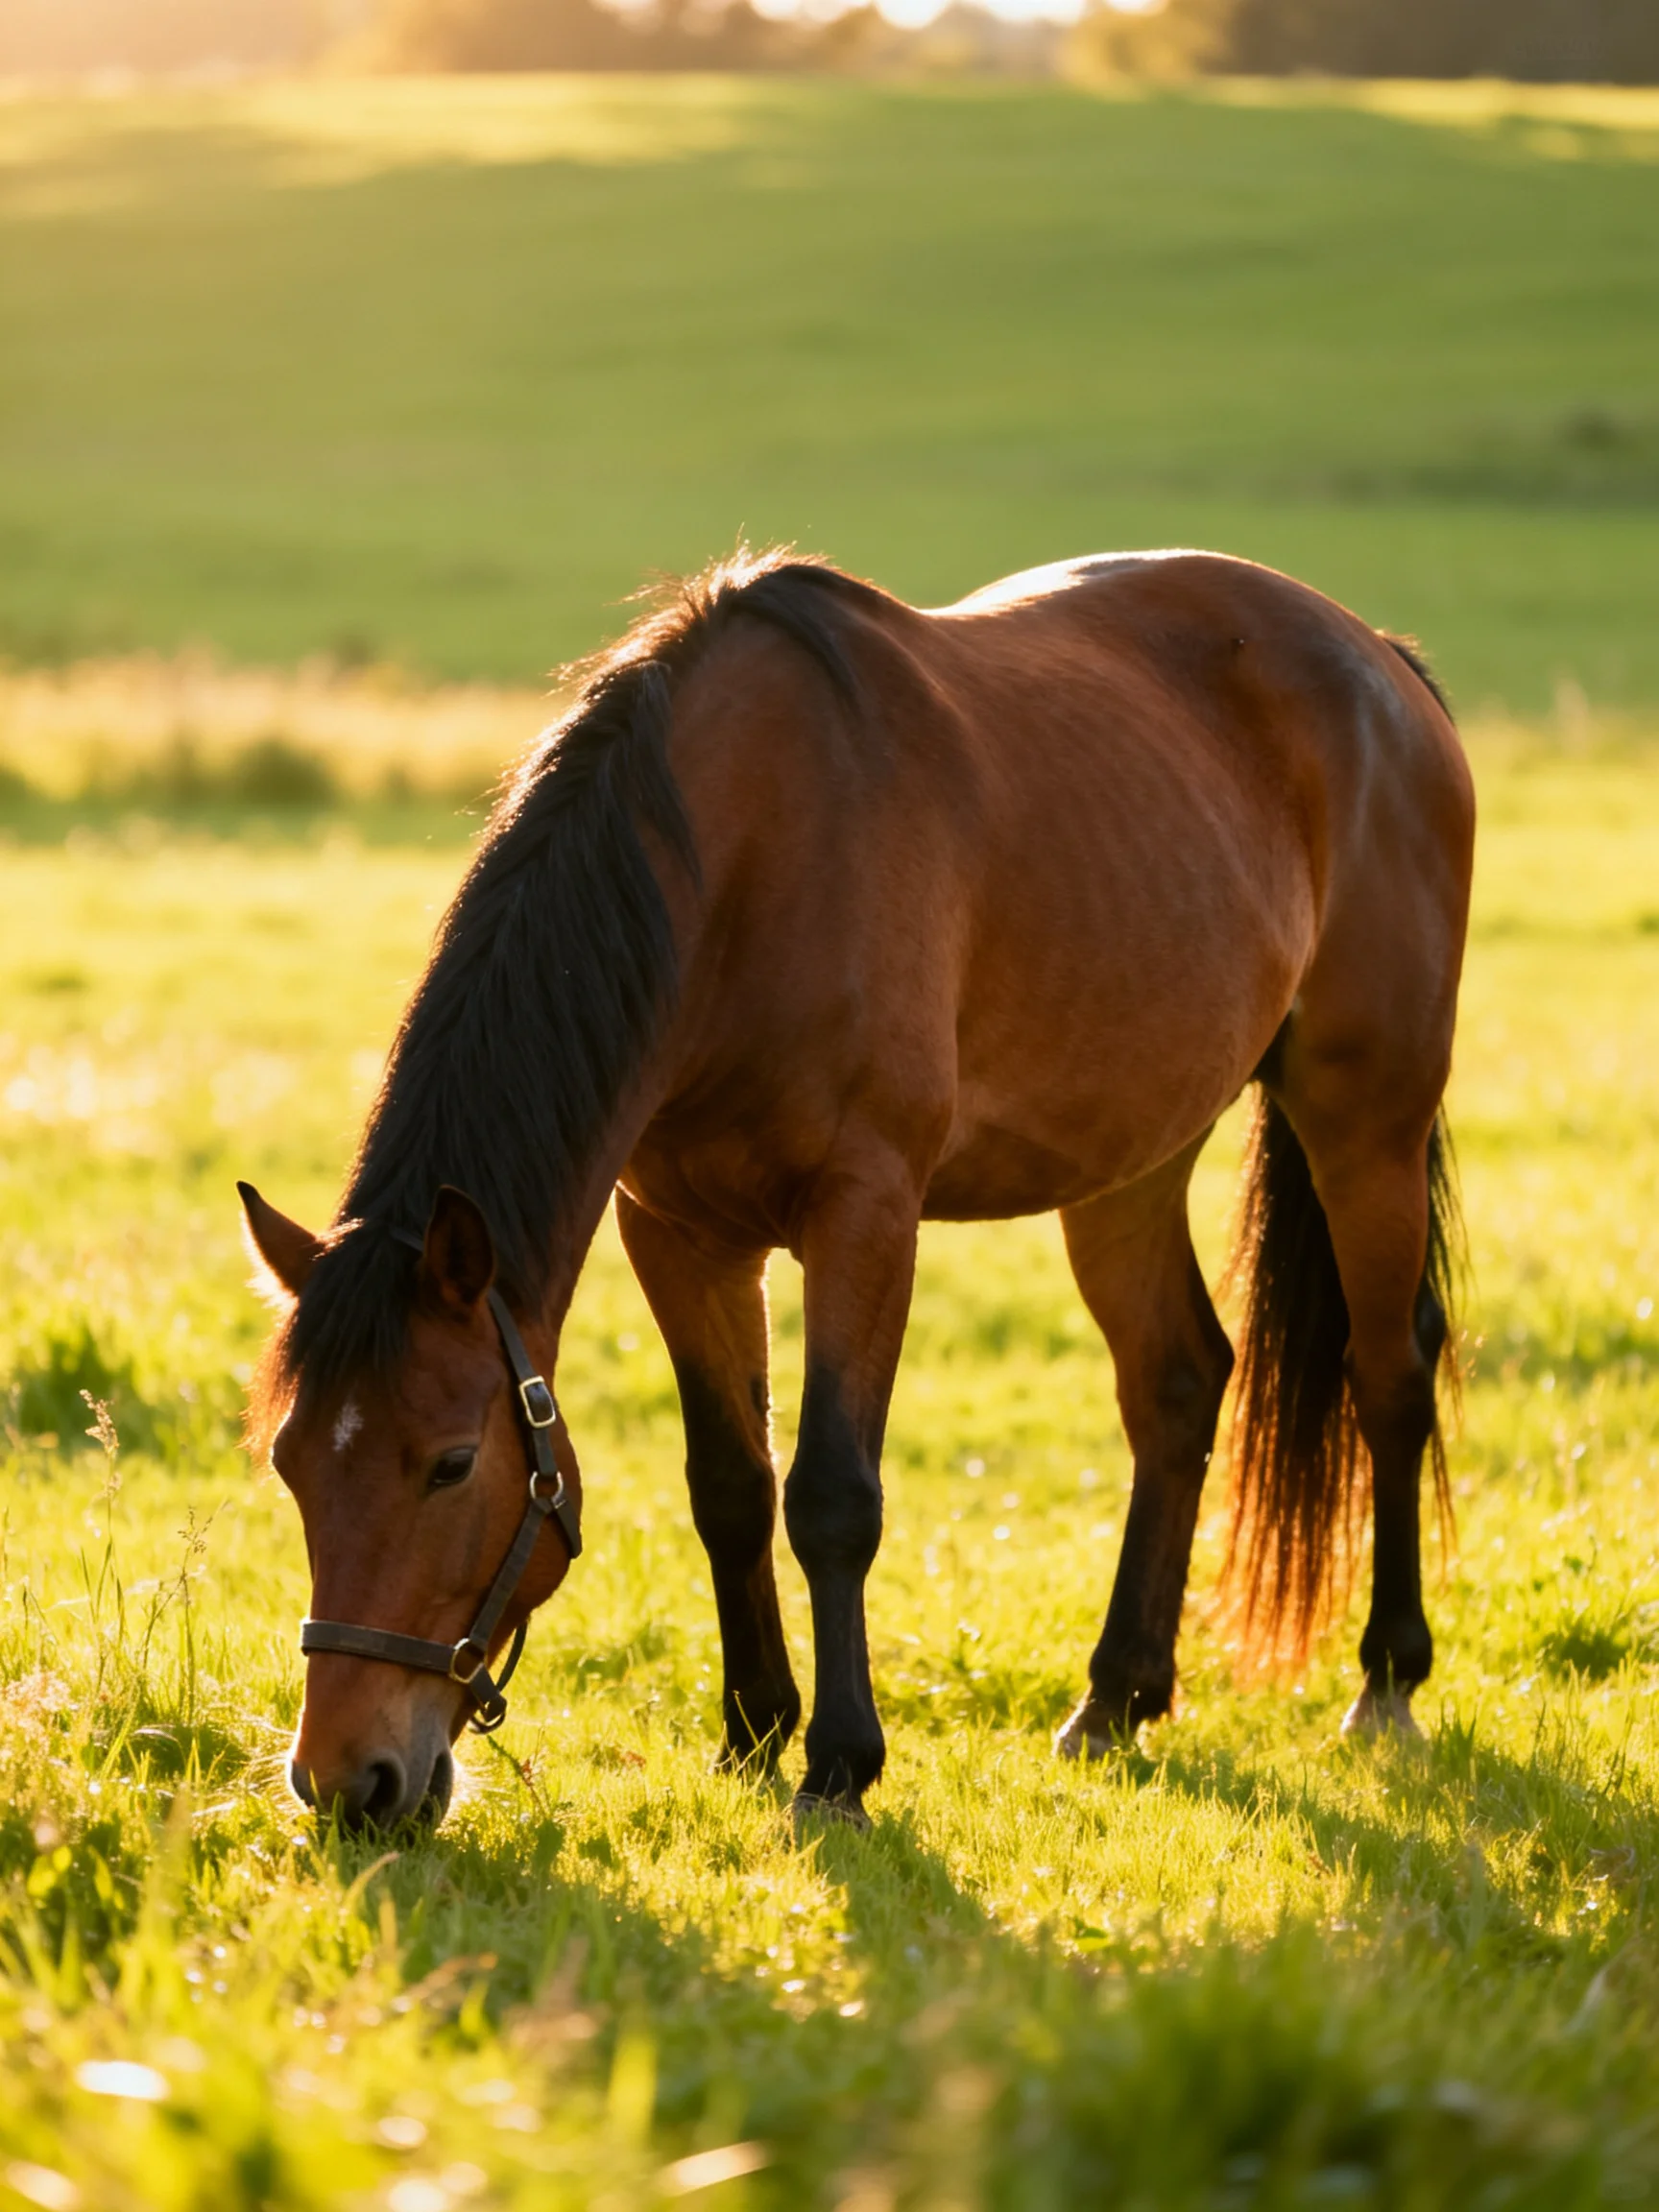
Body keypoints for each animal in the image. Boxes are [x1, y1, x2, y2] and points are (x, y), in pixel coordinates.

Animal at [242, 544, 1473, 1831]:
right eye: (289, 1462)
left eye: (450, 1464)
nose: (347, 1783)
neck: (737, 868)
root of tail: (1385, 666)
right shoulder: (677, 1230)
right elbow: (730, 1484)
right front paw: (751, 1731)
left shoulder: (866, 1212)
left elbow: (832, 1493)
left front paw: (838, 1761)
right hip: (1130, 1160)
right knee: (1176, 1384)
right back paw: (1116, 1696)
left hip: (1367, 1124)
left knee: (1390, 1373)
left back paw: (1386, 1681)